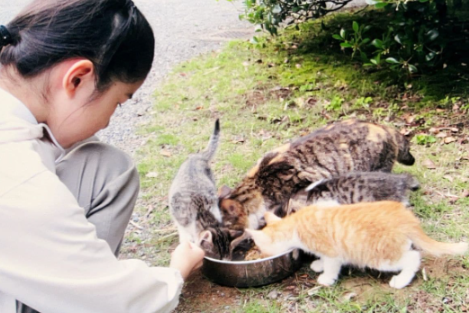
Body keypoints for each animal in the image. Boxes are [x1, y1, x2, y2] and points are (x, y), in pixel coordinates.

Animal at [247, 200, 466, 288]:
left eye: (261, 250)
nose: (261, 256)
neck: (295, 224)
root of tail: (406, 218)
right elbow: (324, 260)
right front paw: (318, 264)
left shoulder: (332, 250)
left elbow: (332, 264)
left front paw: (326, 278)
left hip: (381, 256)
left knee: (413, 257)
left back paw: (401, 281)